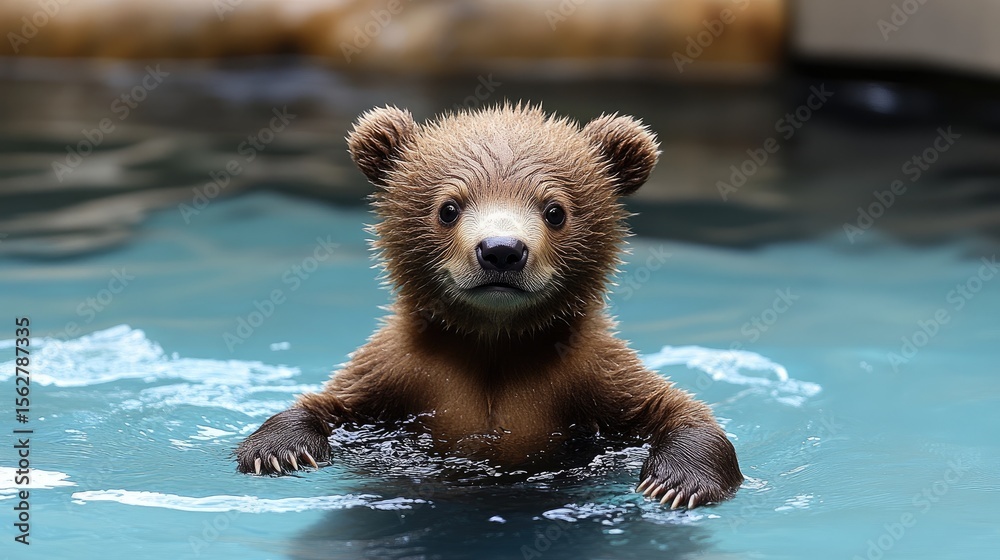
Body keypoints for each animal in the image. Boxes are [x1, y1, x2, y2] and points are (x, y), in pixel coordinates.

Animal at [235, 104, 743, 509]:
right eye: (448, 207)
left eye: (555, 210)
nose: (501, 250)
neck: (493, 341)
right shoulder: (399, 374)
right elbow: (332, 403)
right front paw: (276, 449)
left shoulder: (589, 372)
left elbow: (675, 410)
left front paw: (677, 480)